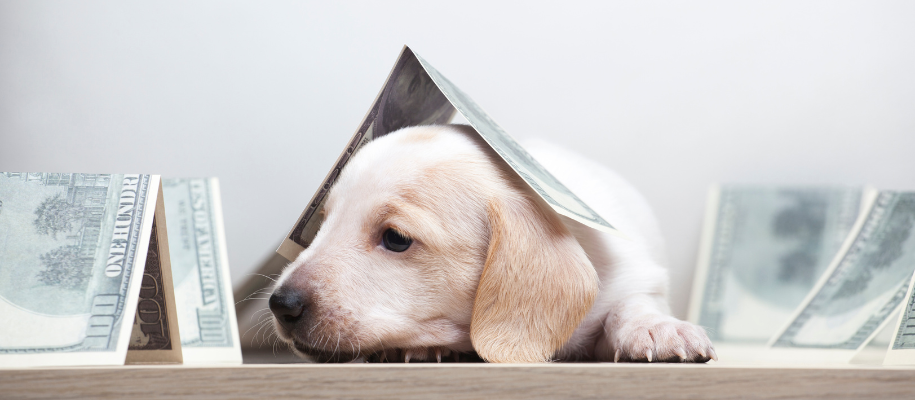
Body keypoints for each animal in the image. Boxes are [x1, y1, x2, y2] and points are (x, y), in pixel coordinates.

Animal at [270, 124, 716, 362]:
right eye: (323, 223)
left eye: (396, 238)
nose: (281, 304)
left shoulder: (638, 275)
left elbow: (634, 303)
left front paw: (657, 328)